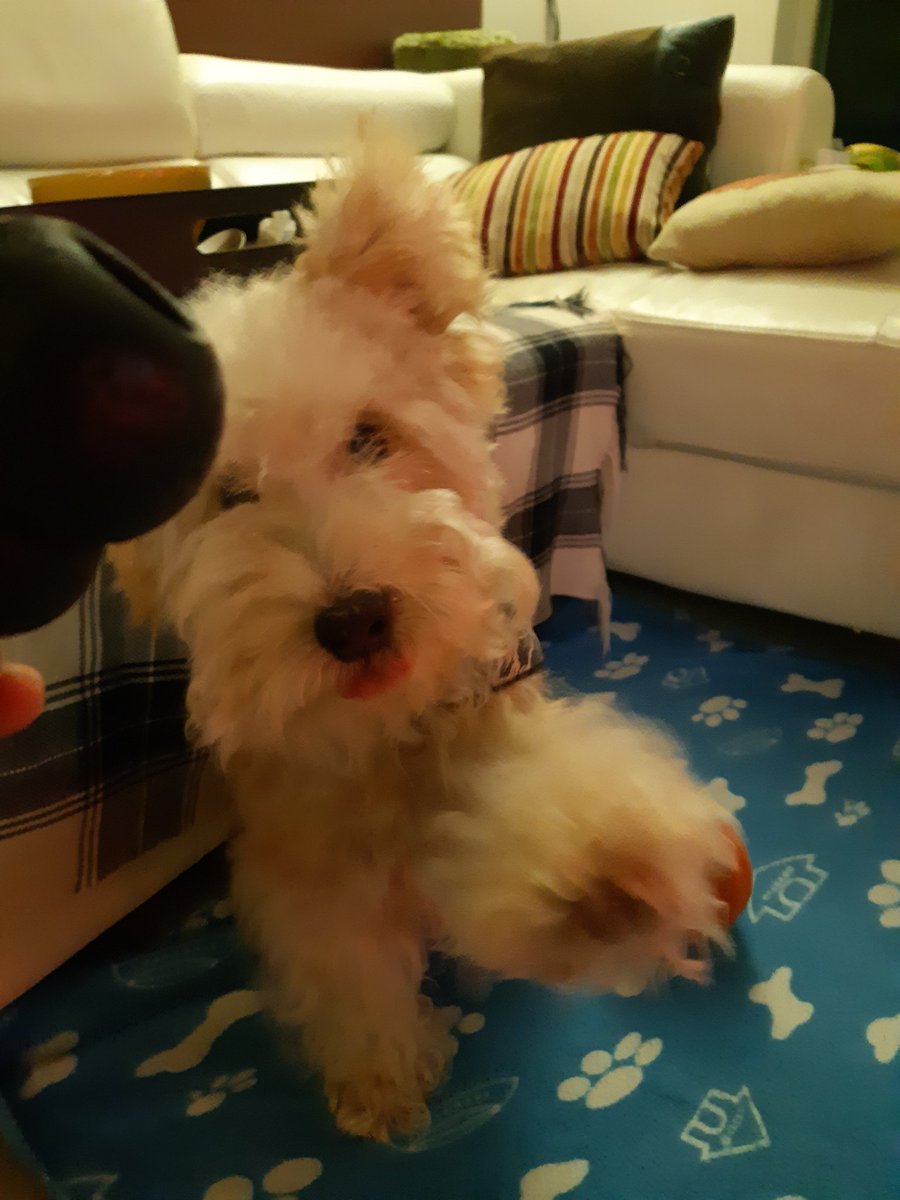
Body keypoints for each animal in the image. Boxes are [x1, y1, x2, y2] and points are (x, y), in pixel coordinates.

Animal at [111, 136, 739, 1137]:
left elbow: (550, 801)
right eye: (230, 496)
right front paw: (379, 1076)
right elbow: (346, 962)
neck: (390, 735)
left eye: (369, 438)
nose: (355, 618)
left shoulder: (501, 730)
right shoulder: (311, 859)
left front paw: (604, 873)